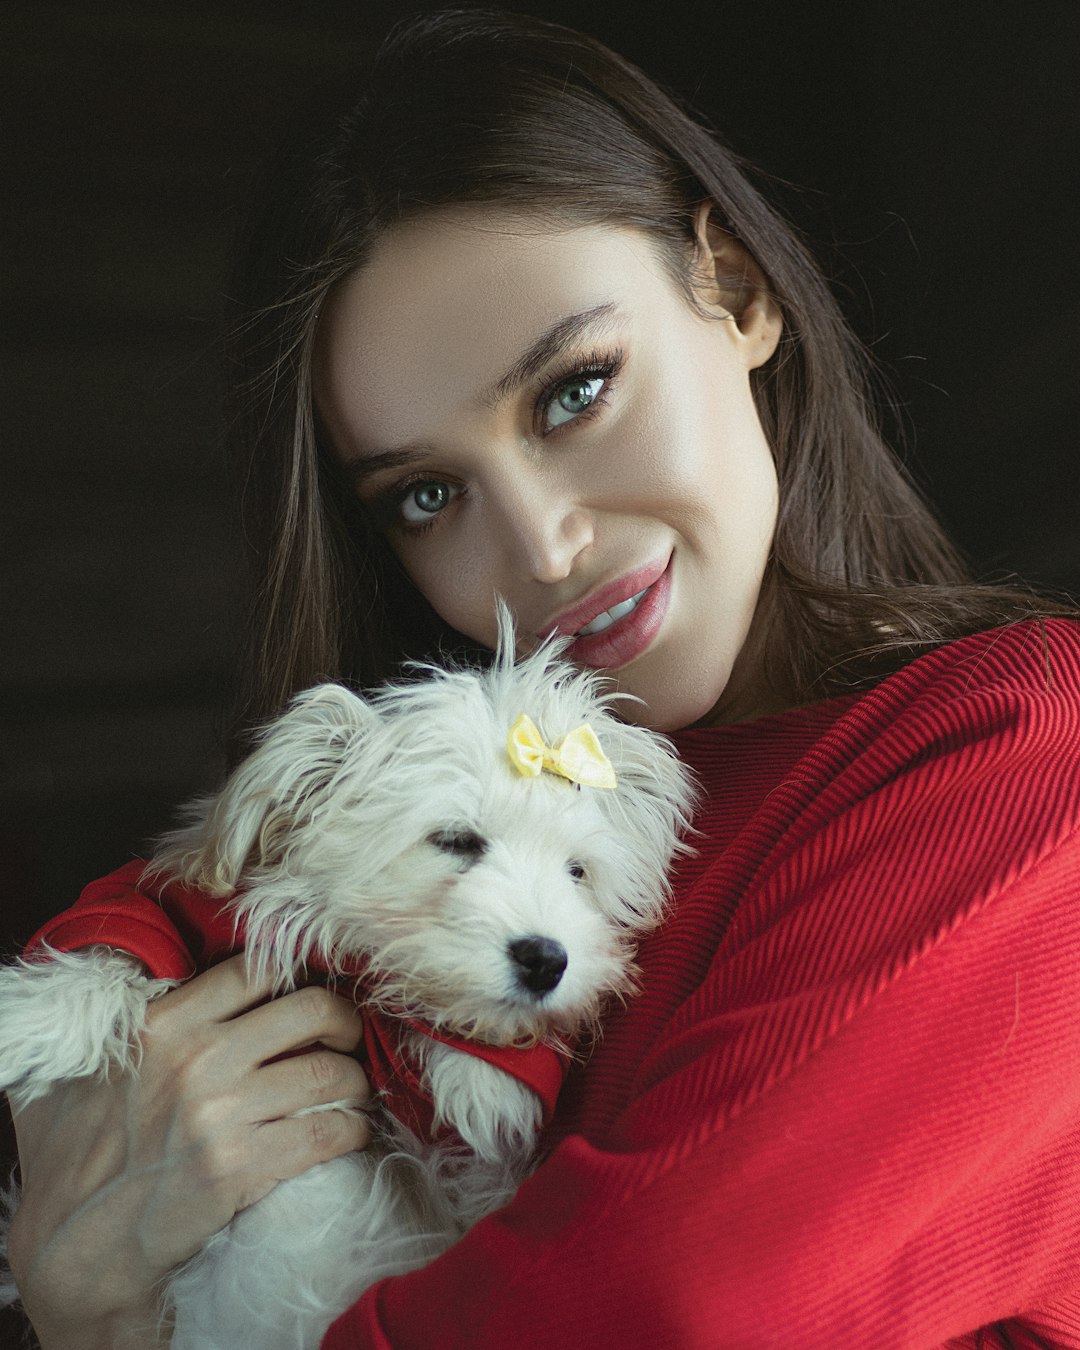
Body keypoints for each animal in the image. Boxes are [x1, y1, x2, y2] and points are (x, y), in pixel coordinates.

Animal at [0, 621, 691, 1350]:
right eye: (456, 840)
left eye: (576, 873)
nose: (545, 960)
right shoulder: (174, 904)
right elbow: (120, 933)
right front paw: (31, 1023)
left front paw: (475, 1067)